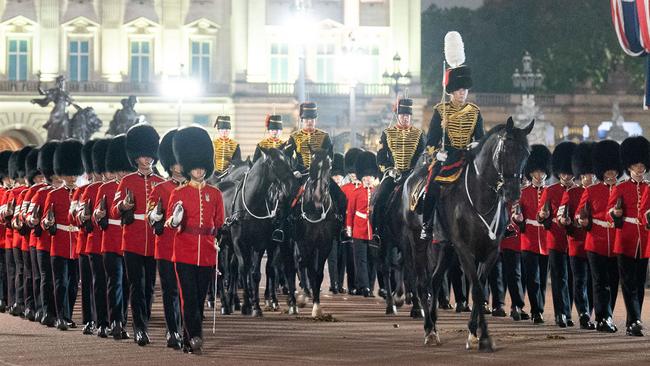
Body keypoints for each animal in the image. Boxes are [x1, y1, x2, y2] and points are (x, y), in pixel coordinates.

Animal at [229, 147, 294, 316]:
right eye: (275, 163)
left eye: (288, 161)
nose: (292, 186)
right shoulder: (239, 242)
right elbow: (243, 270)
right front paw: (247, 304)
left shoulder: (260, 243)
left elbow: (256, 274)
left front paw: (256, 306)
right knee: (235, 268)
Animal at [410, 118, 532, 352]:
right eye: (505, 149)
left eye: (527, 153)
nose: (513, 192)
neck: (480, 196)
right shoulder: (465, 250)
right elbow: (475, 289)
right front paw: (484, 337)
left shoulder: (491, 251)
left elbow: (481, 288)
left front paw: (474, 334)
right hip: (418, 245)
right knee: (422, 283)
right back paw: (429, 329)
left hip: (446, 248)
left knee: (435, 280)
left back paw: (434, 326)